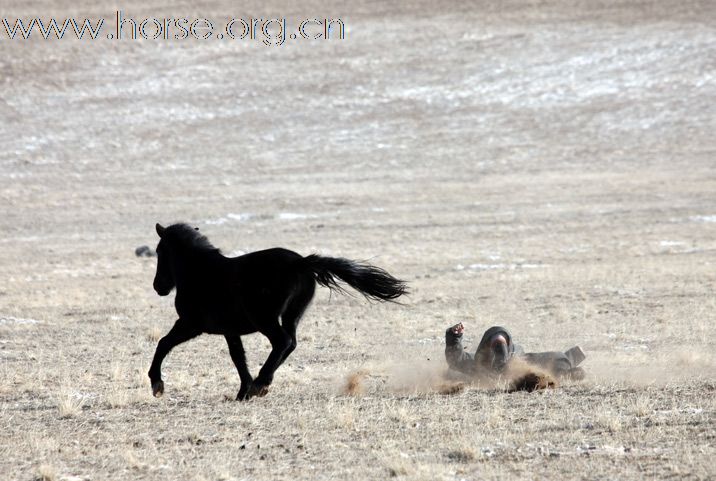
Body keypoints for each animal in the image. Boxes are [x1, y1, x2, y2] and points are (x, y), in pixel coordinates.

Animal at [148, 223, 406, 400]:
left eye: (160, 251)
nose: (158, 286)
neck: (199, 272)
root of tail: (301, 263)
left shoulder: (190, 324)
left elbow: (163, 343)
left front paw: (156, 384)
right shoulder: (230, 330)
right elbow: (238, 357)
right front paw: (243, 391)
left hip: (265, 318)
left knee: (282, 341)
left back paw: (261, 383)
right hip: (292, 314)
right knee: (290, 343)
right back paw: (260, 384)